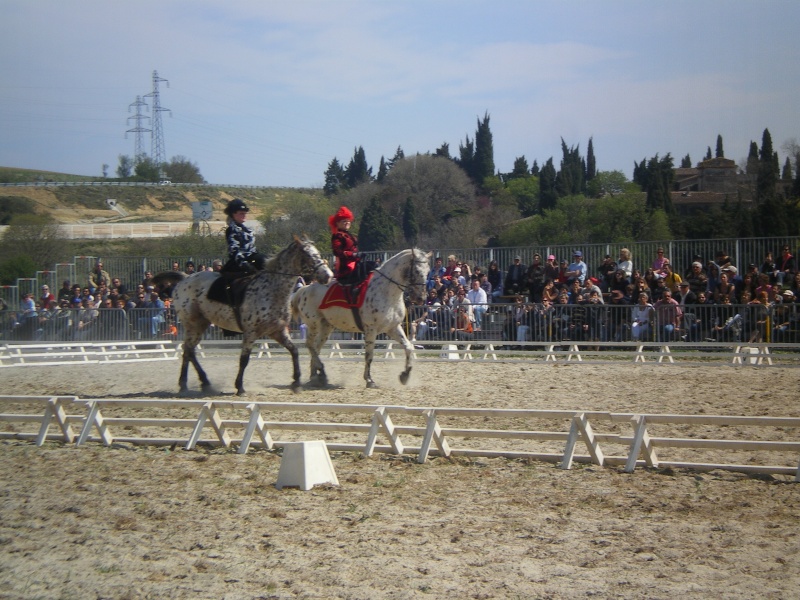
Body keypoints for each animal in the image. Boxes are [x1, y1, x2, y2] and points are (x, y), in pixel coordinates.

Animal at [153, 237, 332, 396]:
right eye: (308, 255)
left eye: (317, 253)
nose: (328, 275)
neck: (273, 289)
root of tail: (184, 279)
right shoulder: (250, 333)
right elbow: (244, 359)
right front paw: (240, 387)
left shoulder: (278, 331)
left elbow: (294, 351)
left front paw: (296, 382)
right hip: (193, 324)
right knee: (188, 350)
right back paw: (187, 384)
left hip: (201, 325)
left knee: (190, 350)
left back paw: (201, 383)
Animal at [292, 248, 432, 390]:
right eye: (416, 271)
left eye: (428, 271)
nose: (421, 298)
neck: (386, 291)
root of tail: (304, 289)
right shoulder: (371, 329)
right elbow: (369, 355)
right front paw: (369, 380)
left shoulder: (393, 328)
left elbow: (408, 347)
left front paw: (405, 375)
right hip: (313, 324)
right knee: (311, 345)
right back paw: (318, 375)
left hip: (326, 327)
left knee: (316, 348)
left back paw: (315, 377)